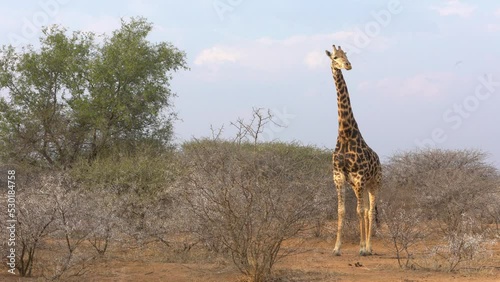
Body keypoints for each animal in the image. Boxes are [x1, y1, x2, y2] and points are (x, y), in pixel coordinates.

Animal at [324, 44, 382, 256]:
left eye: (346, 55)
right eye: (335, 57)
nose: (348, 65)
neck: (345, 133)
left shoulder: (360, 177)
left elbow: (360, 211)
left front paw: (363, 248)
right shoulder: (339, 176)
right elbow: (341, 211)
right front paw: (336, 248)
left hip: (374, 182)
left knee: (369, 209)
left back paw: (369, 247)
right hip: (359, 185)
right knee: (365, 209)